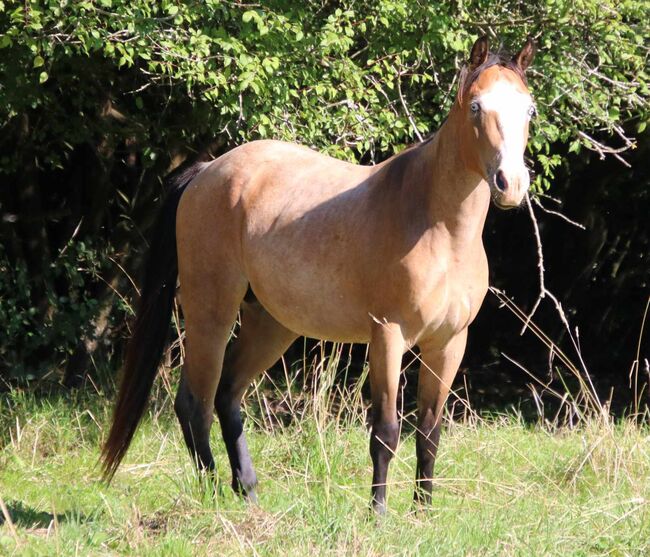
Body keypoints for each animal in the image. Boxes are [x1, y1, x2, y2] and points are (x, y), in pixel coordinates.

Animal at [102, 34, 536, 512]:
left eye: (529, 110)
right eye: (476, 107)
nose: (511, 183)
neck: (438, 227)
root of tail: (205, 173)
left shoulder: (449, 343)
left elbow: (429, 433)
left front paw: (423, 511)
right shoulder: (388, 336)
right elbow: (386, 432)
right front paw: (378, 513)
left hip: (270, 323)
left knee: (228, 394)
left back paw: (248, 491)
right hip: (211, 312)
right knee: (194, 402)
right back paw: (213, 494)